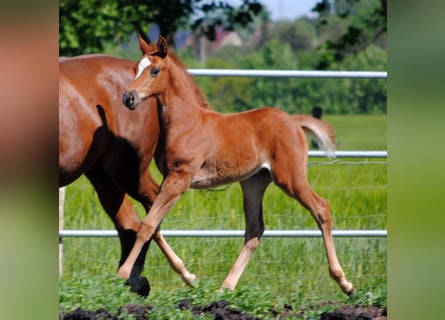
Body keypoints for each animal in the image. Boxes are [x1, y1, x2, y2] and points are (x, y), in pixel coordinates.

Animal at [119, 37, 354, 296]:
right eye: (135, 69)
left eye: (154, 70)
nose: (128, 98)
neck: (186, 122)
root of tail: (293, 121)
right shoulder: (168, 179)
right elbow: (155, 225)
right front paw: (189, 277)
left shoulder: (180, 178)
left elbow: (148, 224)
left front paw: (122, 273)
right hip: (254, 182)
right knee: (254, 230)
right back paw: (226, 287)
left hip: (290, 178)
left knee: (321, 208)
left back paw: (345, 283)